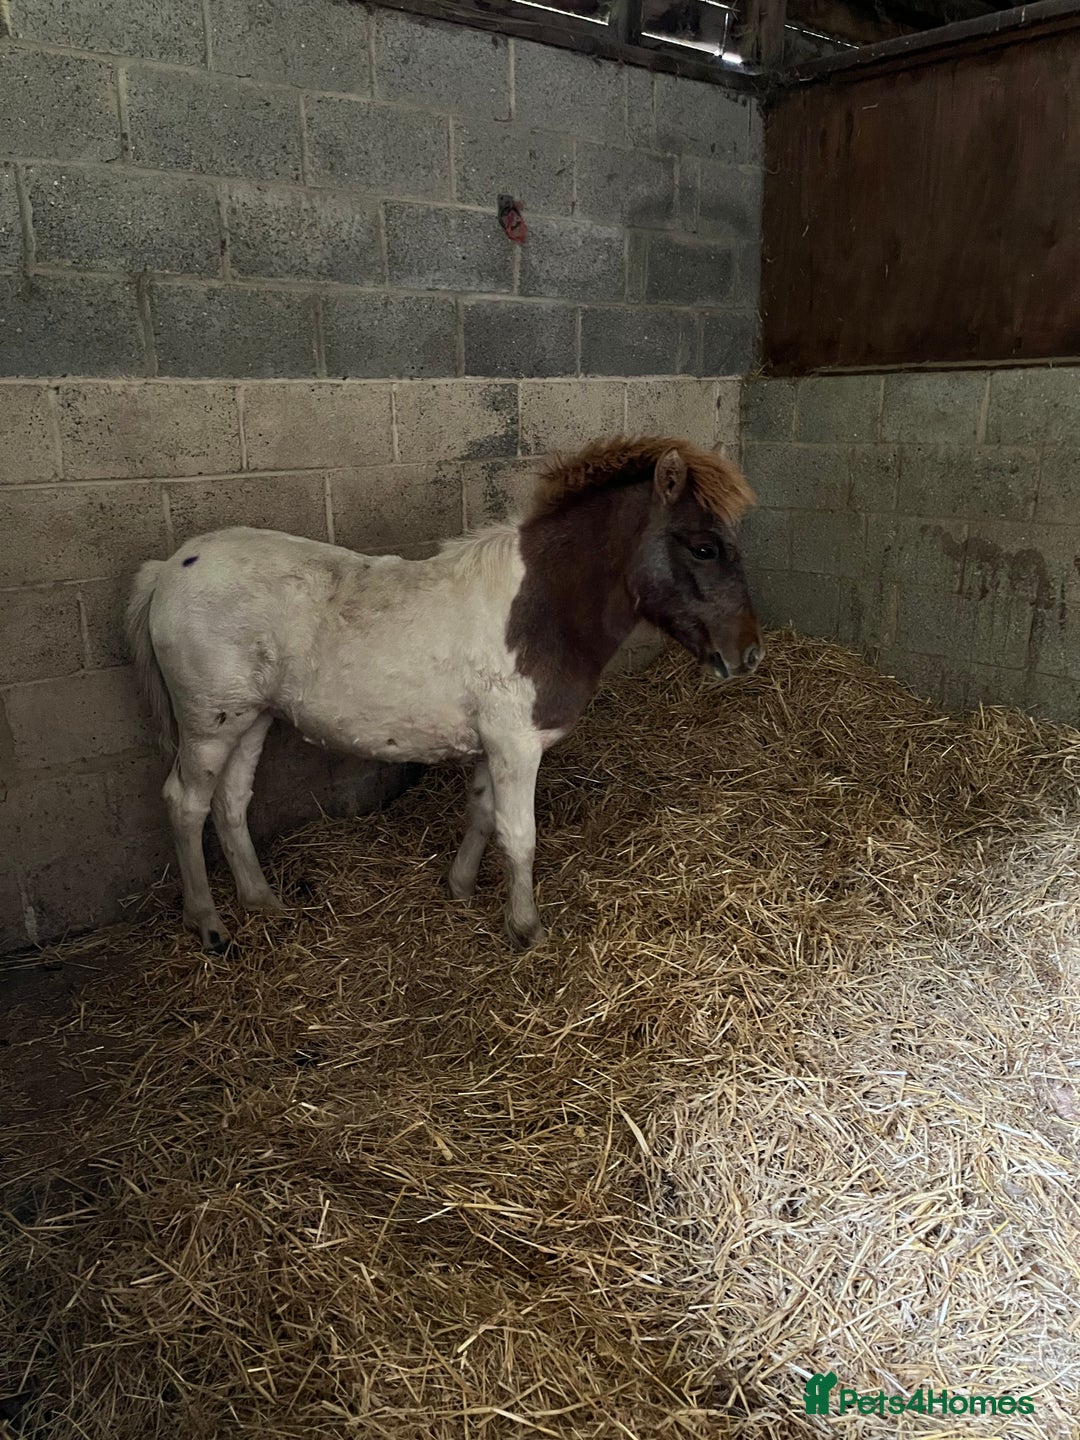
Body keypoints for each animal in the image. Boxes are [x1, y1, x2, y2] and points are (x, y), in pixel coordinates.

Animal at [126, 435, 763, 953]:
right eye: (704, 548)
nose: (749, 653)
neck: (540, 611)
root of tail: (169, 567)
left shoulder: (492, 746)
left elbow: (481, 815)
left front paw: (458, 888)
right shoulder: (516, 746)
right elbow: (519, 836)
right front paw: (525, 929)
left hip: (250, 718)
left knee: (232, 802)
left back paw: (262, 901)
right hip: (209, 725)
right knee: (186, 803)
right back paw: (208, 925)